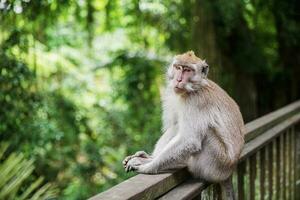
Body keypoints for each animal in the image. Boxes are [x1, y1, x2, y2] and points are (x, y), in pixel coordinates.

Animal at [123, 50, 245, 199]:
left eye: (187, 70)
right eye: (178, 68)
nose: (179, 80)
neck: (193, 88)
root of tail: (229, 171)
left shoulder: (196, 102)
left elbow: (190, 140)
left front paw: (149, 167)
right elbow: (176, 127)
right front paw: (149, 159)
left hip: (215, 164)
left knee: (204, 133)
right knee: (177, 127)